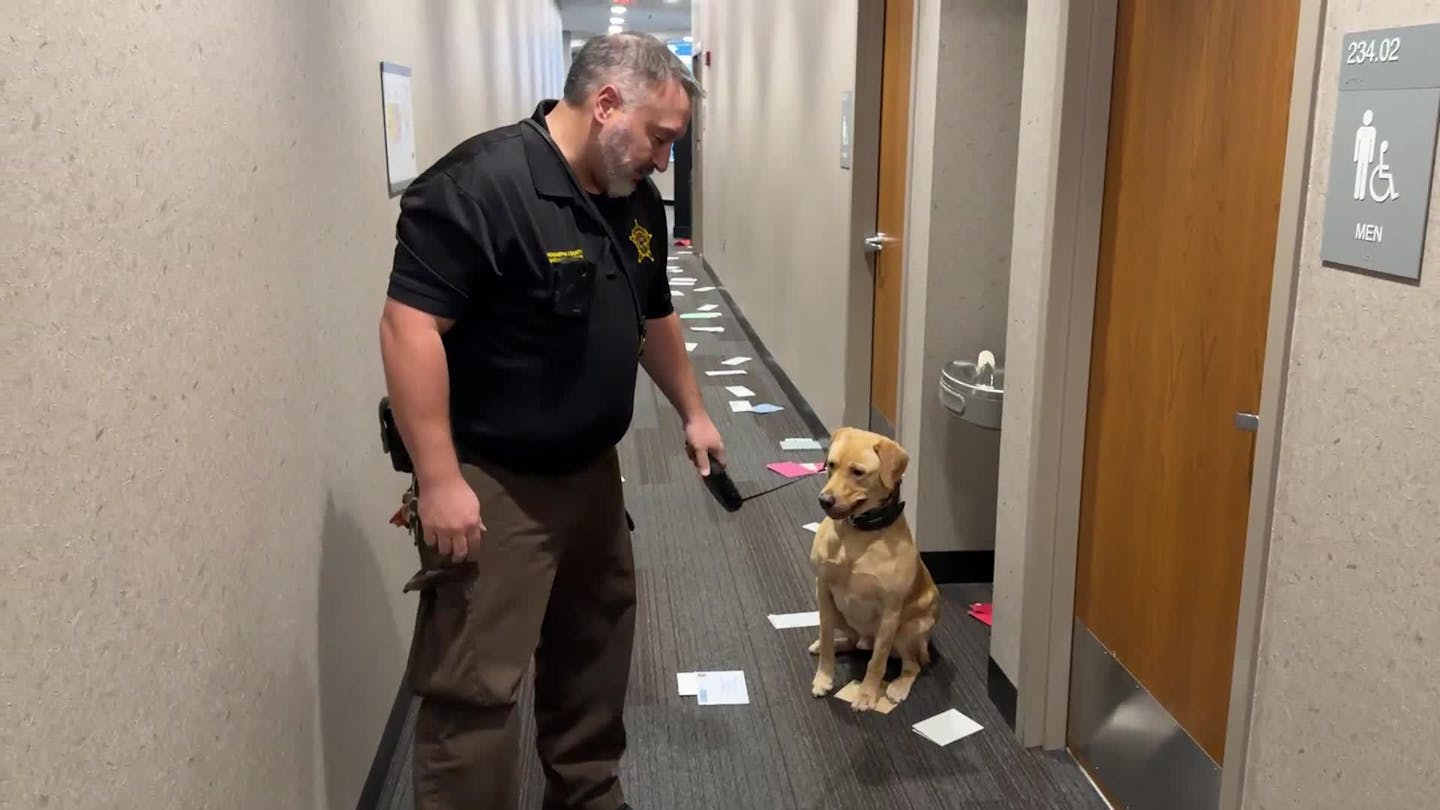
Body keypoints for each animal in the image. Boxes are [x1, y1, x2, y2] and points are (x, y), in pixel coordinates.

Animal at [806, 426, 938, 709]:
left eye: (858, 472)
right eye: (831, 465)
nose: (824, 500)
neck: (857, 534)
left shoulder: (890, 612)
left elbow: (877, 661)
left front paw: (867, 694)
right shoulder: (823, 589)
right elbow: (826, 635)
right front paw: (823, 677)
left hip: (907, 631)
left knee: (911, 666)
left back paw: (898, 687)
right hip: (836, 612)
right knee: (850, 641)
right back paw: (827, 645)